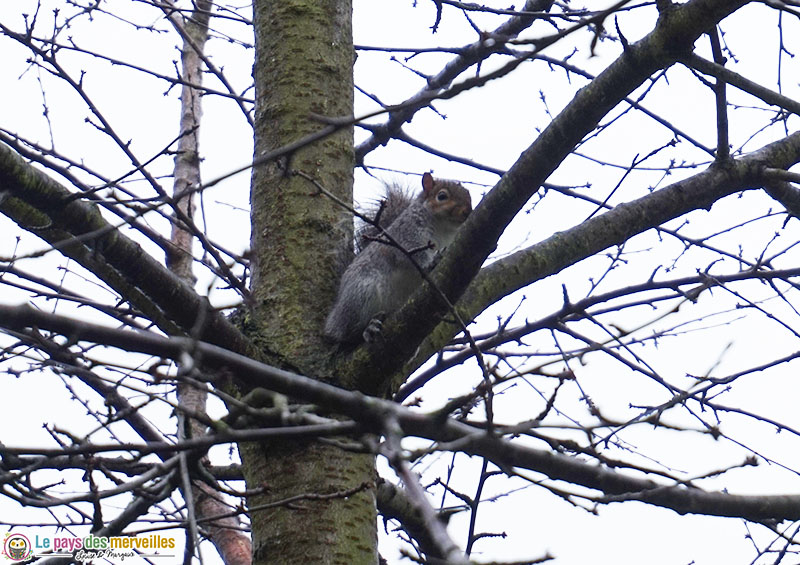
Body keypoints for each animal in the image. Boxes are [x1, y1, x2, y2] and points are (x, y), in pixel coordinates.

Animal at [324, 171, 472, 344]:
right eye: (442, 196)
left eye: (469, 195)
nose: (468, 211)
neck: (445, 228)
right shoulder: (407, 235)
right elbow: (413, 255)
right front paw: (432, 263)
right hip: (361, 292)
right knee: (346, 331)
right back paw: (367, 328)